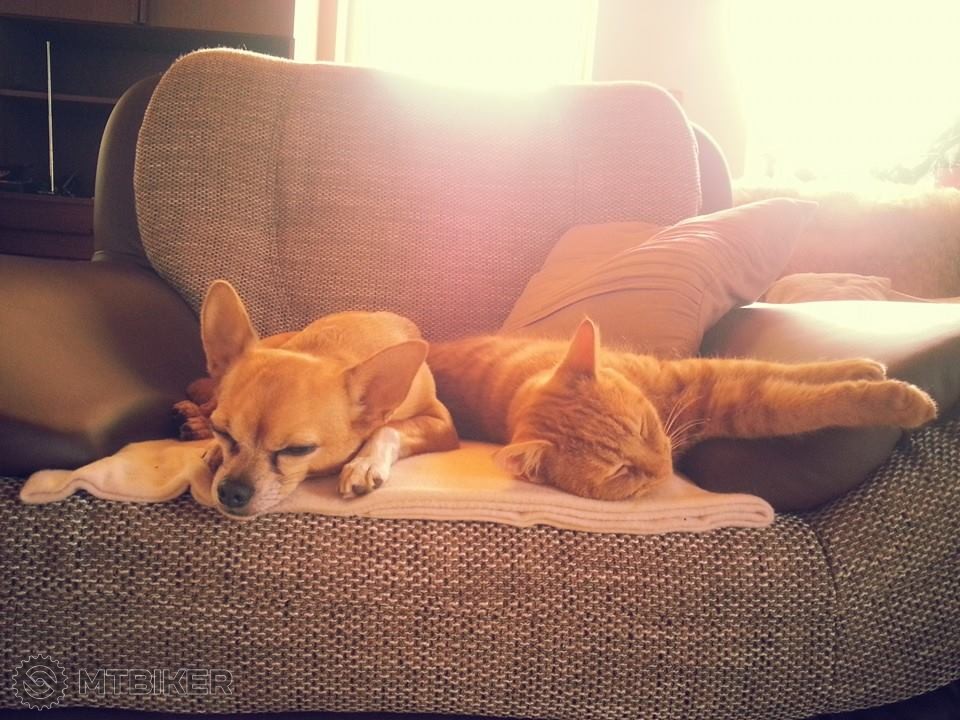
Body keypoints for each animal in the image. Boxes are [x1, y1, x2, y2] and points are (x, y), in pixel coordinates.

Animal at [176, 280, 459, 518]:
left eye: (298, 450)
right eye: (222, 431)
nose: (231, 491)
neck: (331, 350)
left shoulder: (441, 422)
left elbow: (388, 427)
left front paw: (366, 462)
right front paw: (213, 442)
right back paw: (195, 421)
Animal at [427, 318, 937, 501]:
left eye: (642, 427)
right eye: (621, 472)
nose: (663, 468)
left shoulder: (699, 374)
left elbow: (785, 372)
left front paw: (865, 370)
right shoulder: (730, 401)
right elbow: (791, 404)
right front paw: (899, 400)